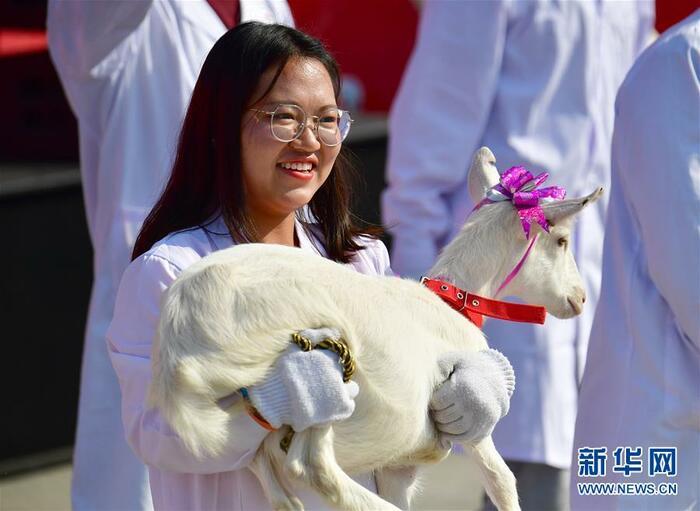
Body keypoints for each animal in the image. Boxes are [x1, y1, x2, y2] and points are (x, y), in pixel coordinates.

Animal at [149, 148, 600, 511]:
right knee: (310, 464)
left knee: (264, 460)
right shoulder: (468, 429)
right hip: (319, 368)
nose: (579, 299)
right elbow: (502, 480)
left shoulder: (400, 464)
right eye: (561, 240)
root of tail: (184, 314)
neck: (451, 304)